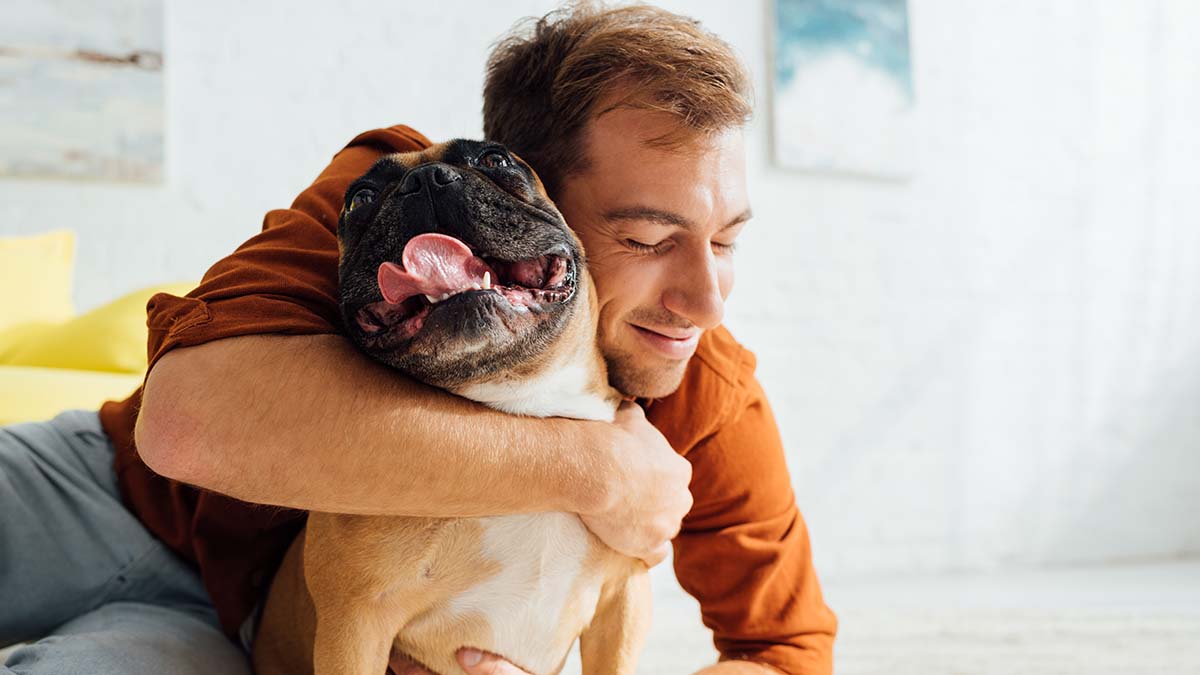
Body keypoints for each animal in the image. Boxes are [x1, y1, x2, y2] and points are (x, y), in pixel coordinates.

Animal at [247, 138, 652, 672]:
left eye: (496, 160)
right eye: (359, 199)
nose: (426, 180)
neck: (518, 406)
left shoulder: (622, 606)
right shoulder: (355, 625)